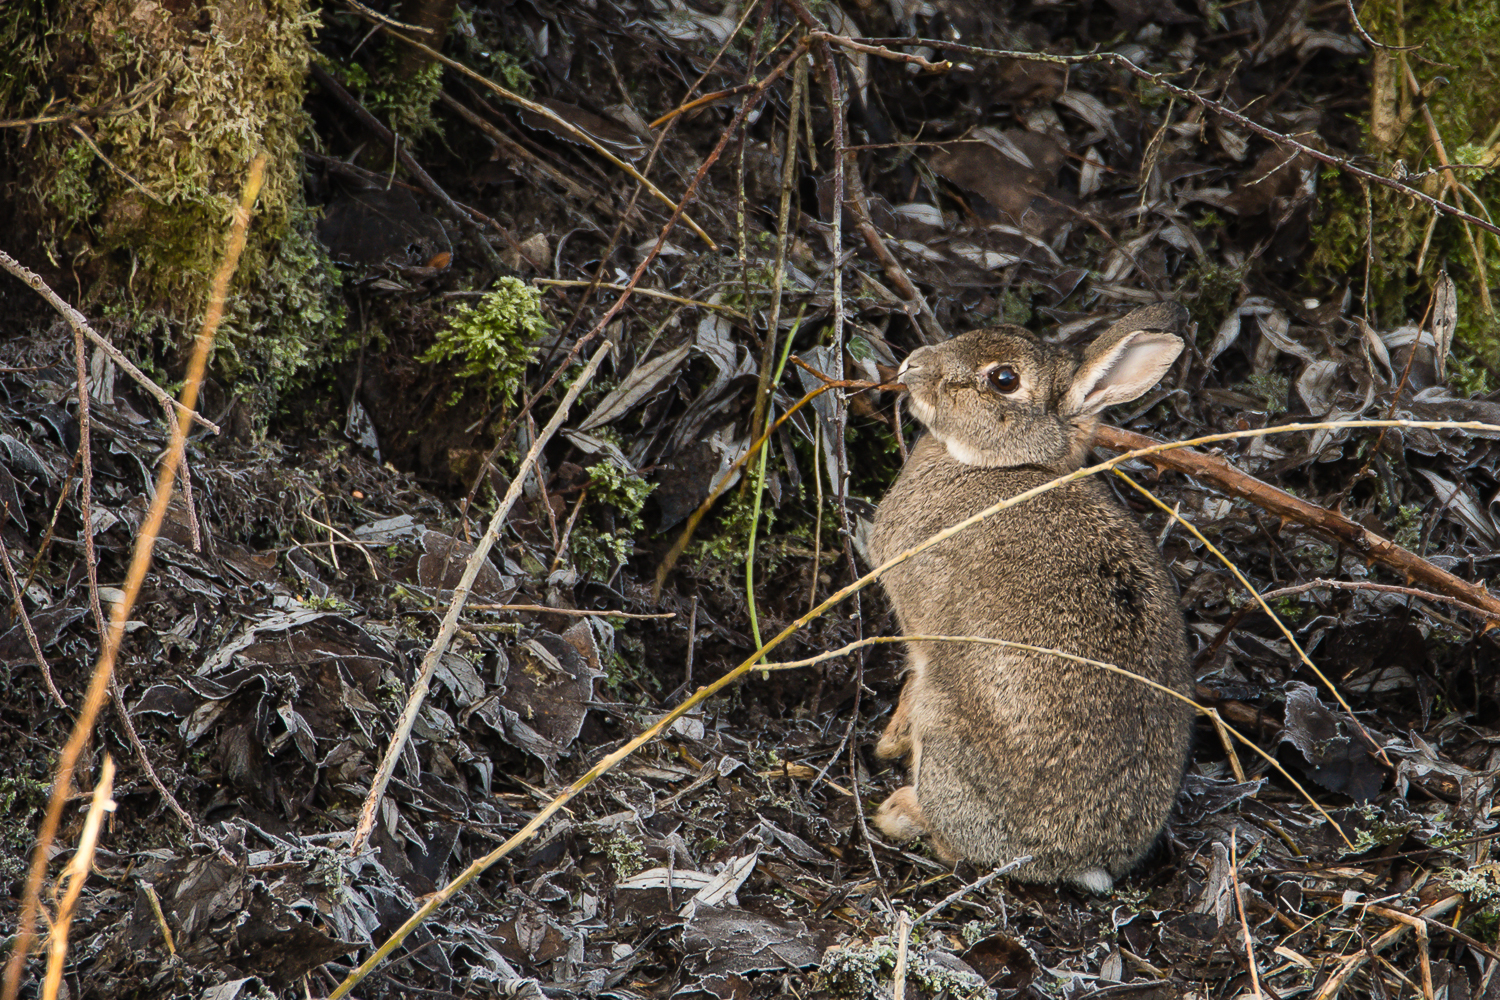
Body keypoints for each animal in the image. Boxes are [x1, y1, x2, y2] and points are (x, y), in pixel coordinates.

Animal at [870, 301, 1194, 893]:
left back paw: (899, 811)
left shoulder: (920, 633)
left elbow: (910, 678)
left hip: (945, 729)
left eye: (1004, 379)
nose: (913, 366)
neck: (1006, 467)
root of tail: (1080, 859)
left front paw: (887, 743)